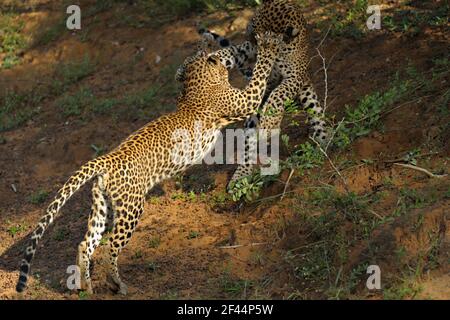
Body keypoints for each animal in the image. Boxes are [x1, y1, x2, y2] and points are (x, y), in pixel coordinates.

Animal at [15, 30, 284, 296]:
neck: (195, 81)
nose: (208, 37)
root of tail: (107, 159)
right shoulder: (245, 100)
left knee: (86, 243)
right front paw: (267, 46)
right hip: (131, 208)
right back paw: (117, 284)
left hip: (104, 206)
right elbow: (259, 75)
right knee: (109, 247)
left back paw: (86, 286)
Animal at [178, 0, 328, 186]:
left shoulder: (294, 77)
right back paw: (240, 175)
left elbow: (278, 94)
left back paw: (323, 144)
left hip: (307, 93)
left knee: (316, 116)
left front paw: (271, 121)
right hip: (252, 118)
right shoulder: (244, 51)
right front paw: (184, 68)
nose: (250, 41)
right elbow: (225, 53)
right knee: (249, 144)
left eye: (256, 34)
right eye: (252, 31)